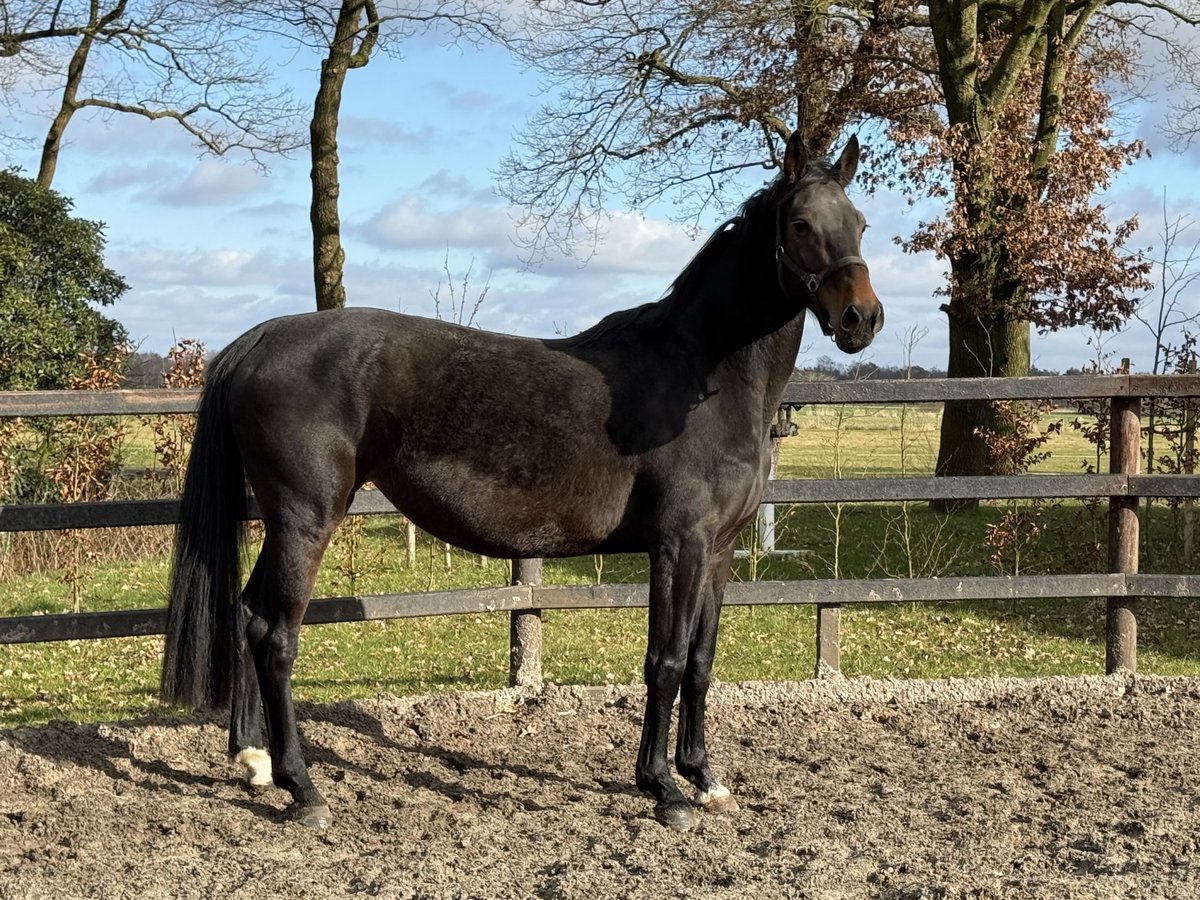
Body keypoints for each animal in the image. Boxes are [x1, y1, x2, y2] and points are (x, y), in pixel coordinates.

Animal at [159, 133, 883, 830]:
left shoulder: (722, 550)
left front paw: (704, 778)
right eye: (800, 224)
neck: (703, 373)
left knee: (247, 616)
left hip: (285, 521)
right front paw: (663, 790)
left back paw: (255, 760)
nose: (862, 319)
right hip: (305, 518)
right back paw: (303, 790)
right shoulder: (680, 545)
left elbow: (701, 665)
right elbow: (667, 662)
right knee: (275, 635)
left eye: (860, 224)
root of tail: (260, 339)